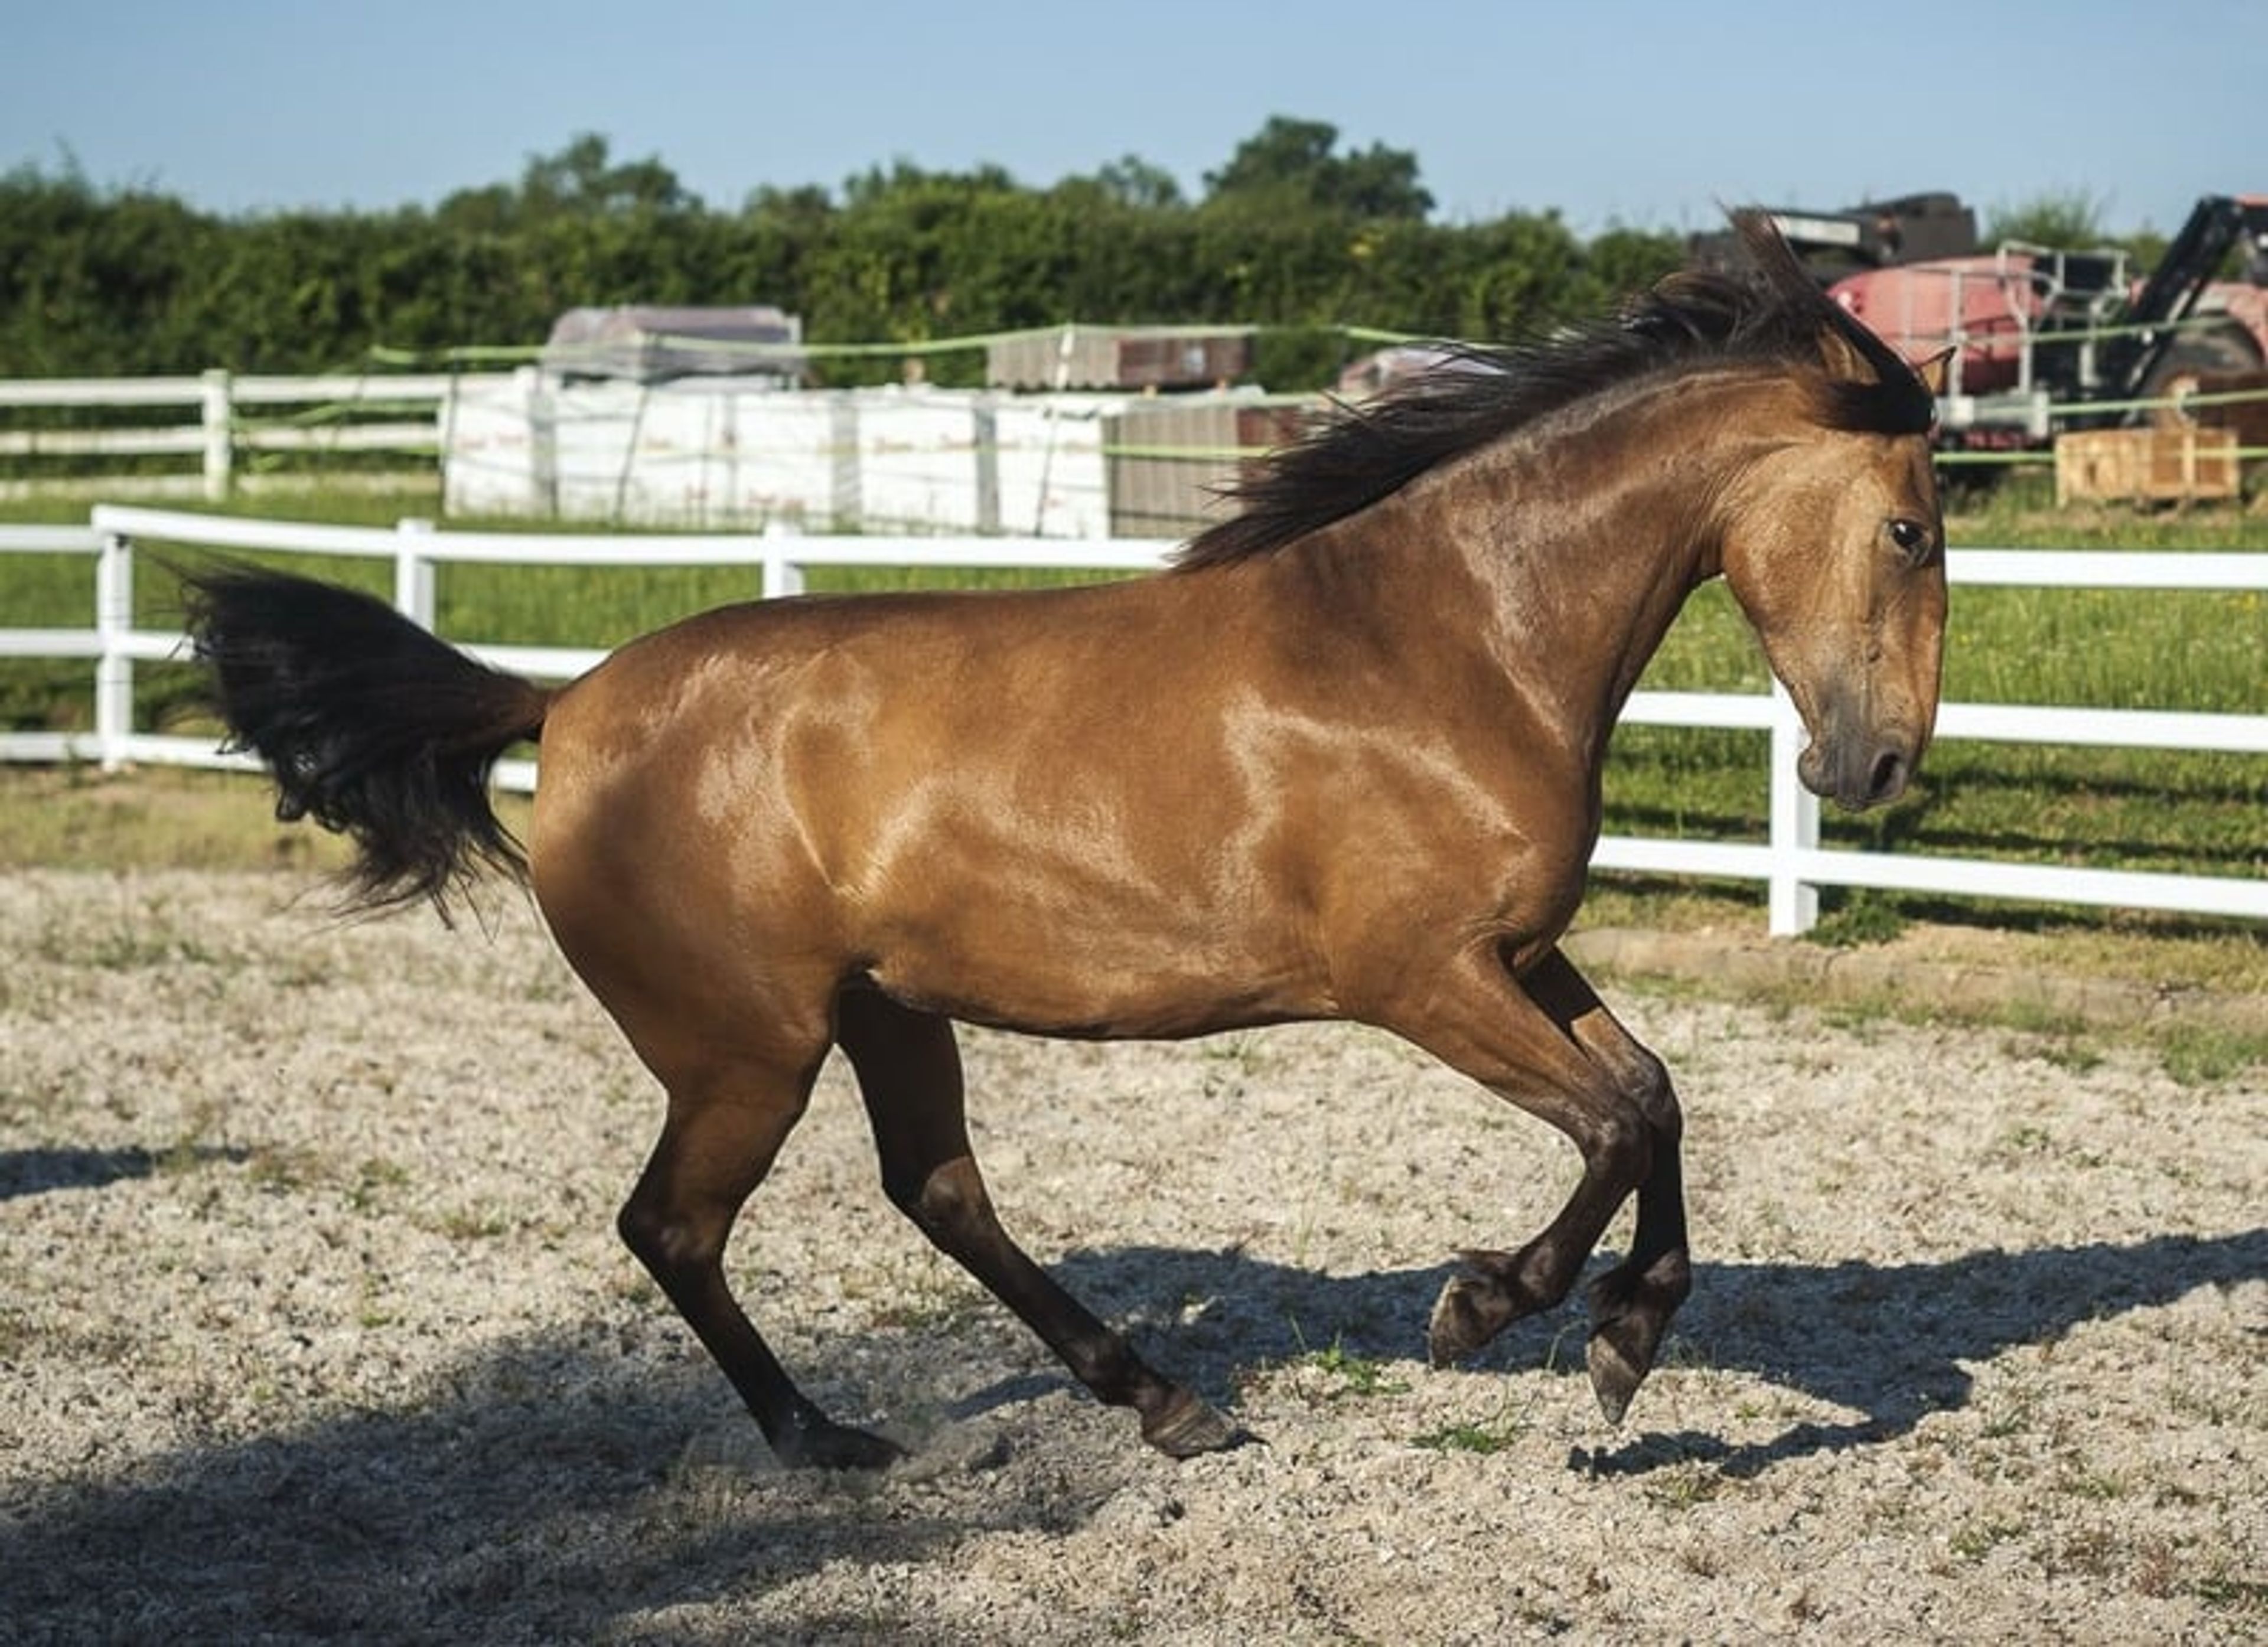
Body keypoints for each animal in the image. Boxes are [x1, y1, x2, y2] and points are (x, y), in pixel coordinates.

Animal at [185, 215, 1950, 1471]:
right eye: (1912, 525)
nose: (1872, 765)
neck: (1440, 639)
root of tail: (560, 705)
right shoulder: (1416, 975)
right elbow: (1612, 1120)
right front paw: (1492, 1309)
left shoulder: (1516, 950)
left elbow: (1654, 1096)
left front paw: (1620, 1338)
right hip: (746, 1045)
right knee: (674, 1226)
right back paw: (826, 1437)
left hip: (885, 1011)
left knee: (937, 1190)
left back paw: (1163, 1398)